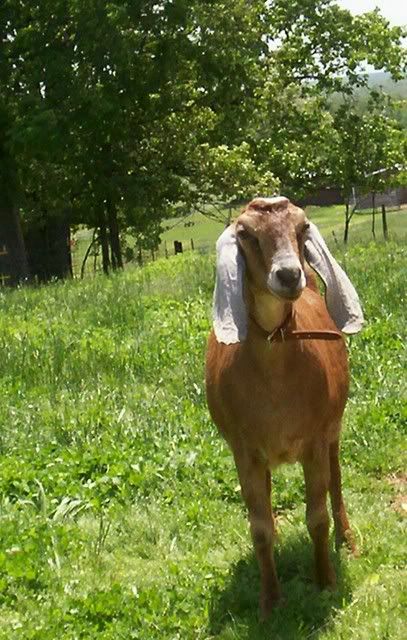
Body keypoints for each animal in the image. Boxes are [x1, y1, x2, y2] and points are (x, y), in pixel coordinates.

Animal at [205, 196, 363, 619]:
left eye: (302, 225)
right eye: (245, 233)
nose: (291, 275)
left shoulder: (314, 440)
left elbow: (317, 517)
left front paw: (326, 581)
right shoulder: (243, 450)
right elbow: (259, 528)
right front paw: (269, 600)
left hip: (333, 429)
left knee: (336, 479)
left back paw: (348, 537)